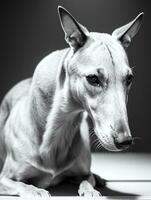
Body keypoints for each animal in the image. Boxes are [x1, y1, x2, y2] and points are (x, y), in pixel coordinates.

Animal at [0, 6, 143, 197]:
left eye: (129, 79)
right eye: (93, 79)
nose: (125, 141)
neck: (58, 130)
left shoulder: (83, 173)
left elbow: (86, 179)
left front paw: (90, 190)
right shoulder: (4, 179)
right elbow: (22, 185)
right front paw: (36, 191)